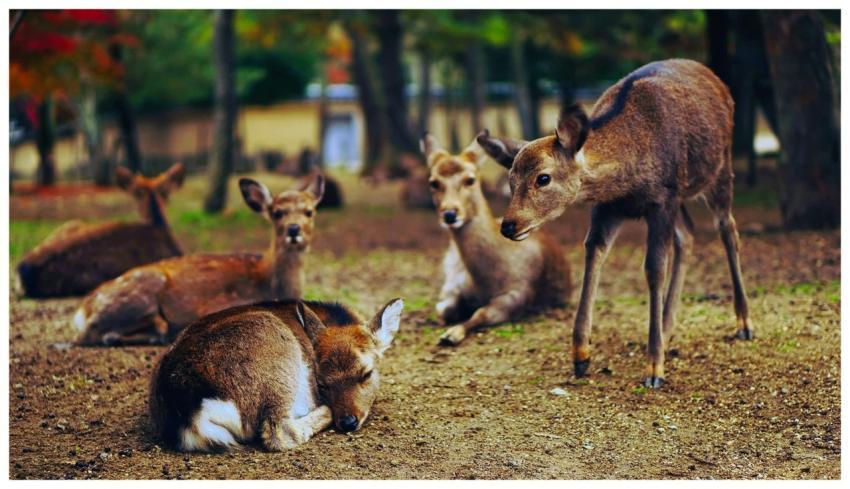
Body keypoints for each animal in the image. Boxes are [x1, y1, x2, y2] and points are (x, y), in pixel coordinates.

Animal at [72, 174, 325, 347]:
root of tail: (82, 309)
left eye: (309, 211)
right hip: (139, 293)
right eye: (277, 212)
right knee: (91, 334)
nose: (294, 229)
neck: (269, 281)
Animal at [421, 134, 572, 346]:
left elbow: (481, 313)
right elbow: (444, 309)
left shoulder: (518, 293)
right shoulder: (454, 284)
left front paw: (451, 334)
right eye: (433, 182)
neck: (485, 281)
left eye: (470, 179)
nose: (450, 214)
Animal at [478, 59, 754, 388]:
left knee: (727, 229)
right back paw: (666, 325)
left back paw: (744, 324)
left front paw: (654, 368)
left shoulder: (662, 199)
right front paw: (581, 356)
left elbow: (654, 269)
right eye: (510, 180)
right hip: (682, 198)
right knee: (687, 234)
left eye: (543, 178)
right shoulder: (609, 207)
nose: (509, 225)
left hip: (720, 169)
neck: (627, 180)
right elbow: (593, 253)